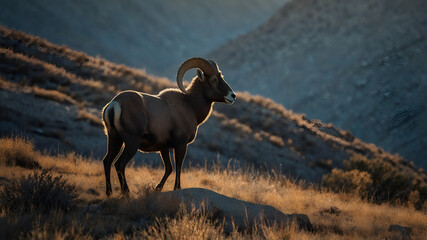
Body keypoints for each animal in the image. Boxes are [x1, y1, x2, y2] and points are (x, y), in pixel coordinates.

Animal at [103, 57, 237, 196]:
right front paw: (177, 188)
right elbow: (178, 167)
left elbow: (169, 168)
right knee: (120, 164)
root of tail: (114, 105)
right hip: (131, 143)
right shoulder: (180, 145)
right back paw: (126, 193)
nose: (232, 96)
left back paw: (109, 193)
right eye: (214, 80)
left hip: (115, 140)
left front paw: (157, 188)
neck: (191, 107)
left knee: (107, 162)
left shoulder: (164, 148)